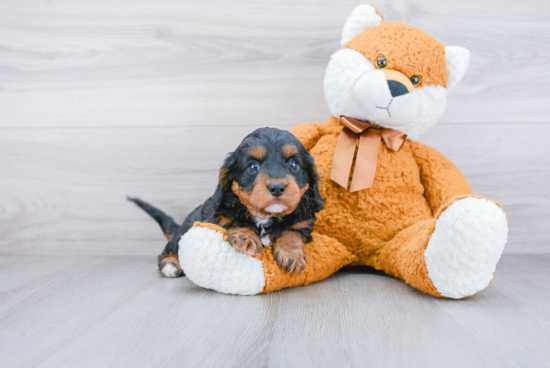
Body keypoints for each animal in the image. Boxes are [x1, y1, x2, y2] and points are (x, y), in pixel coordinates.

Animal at [130, 128, 324, 278]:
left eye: (293, 164)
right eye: (253, 167)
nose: (277, 187)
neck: (266, 216)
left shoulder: (304, 223)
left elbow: (292, 232)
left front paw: (291, 254)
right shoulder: (218, 214)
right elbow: (234, 220)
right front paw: (245, 236)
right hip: (183, 232)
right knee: (169, 249)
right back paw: (170, 264)